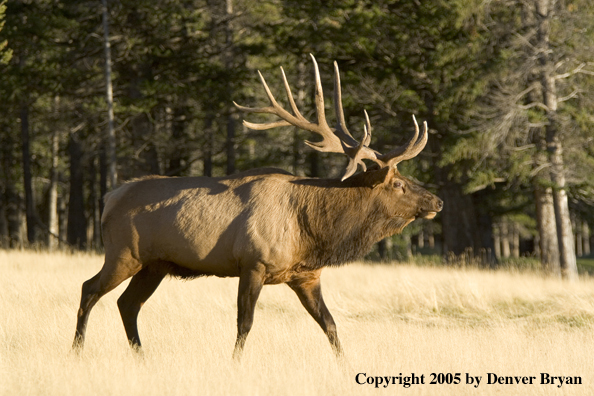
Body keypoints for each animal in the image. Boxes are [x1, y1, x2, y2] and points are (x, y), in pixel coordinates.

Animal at [73, 55, 440, 358]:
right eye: (398, 183)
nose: (437, 200)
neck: (312, 232)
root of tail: (109, 197)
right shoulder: (253, 263)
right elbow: (245, 324)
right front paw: (235, 363)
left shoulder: (306, 275)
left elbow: (330, 324)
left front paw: (345, 364)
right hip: (123, 253)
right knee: (89, 289)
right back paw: (77, 350)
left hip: (155, 264)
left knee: (127, 303)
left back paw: (140, 355)